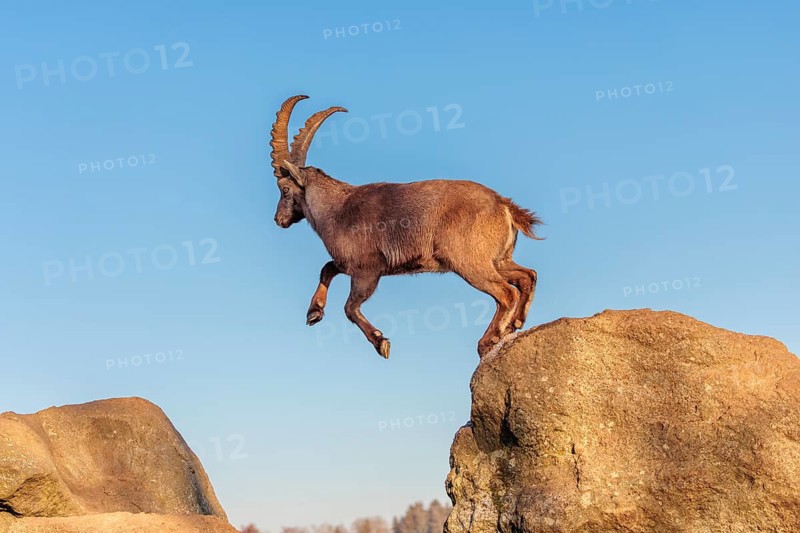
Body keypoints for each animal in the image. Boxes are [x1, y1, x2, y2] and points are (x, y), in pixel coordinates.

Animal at [269, 95, 543, 358]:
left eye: (284, 189)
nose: (278, 219)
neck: (336, 209)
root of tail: (503, 205)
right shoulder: (348, 263)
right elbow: (326, 269)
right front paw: (313, 313)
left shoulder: (367, 269)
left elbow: (350, 307)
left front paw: (381, 342)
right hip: (497, 259)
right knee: (527, 276)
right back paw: (515, 324)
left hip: (468, 262)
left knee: (506, 292)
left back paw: (489, 340)